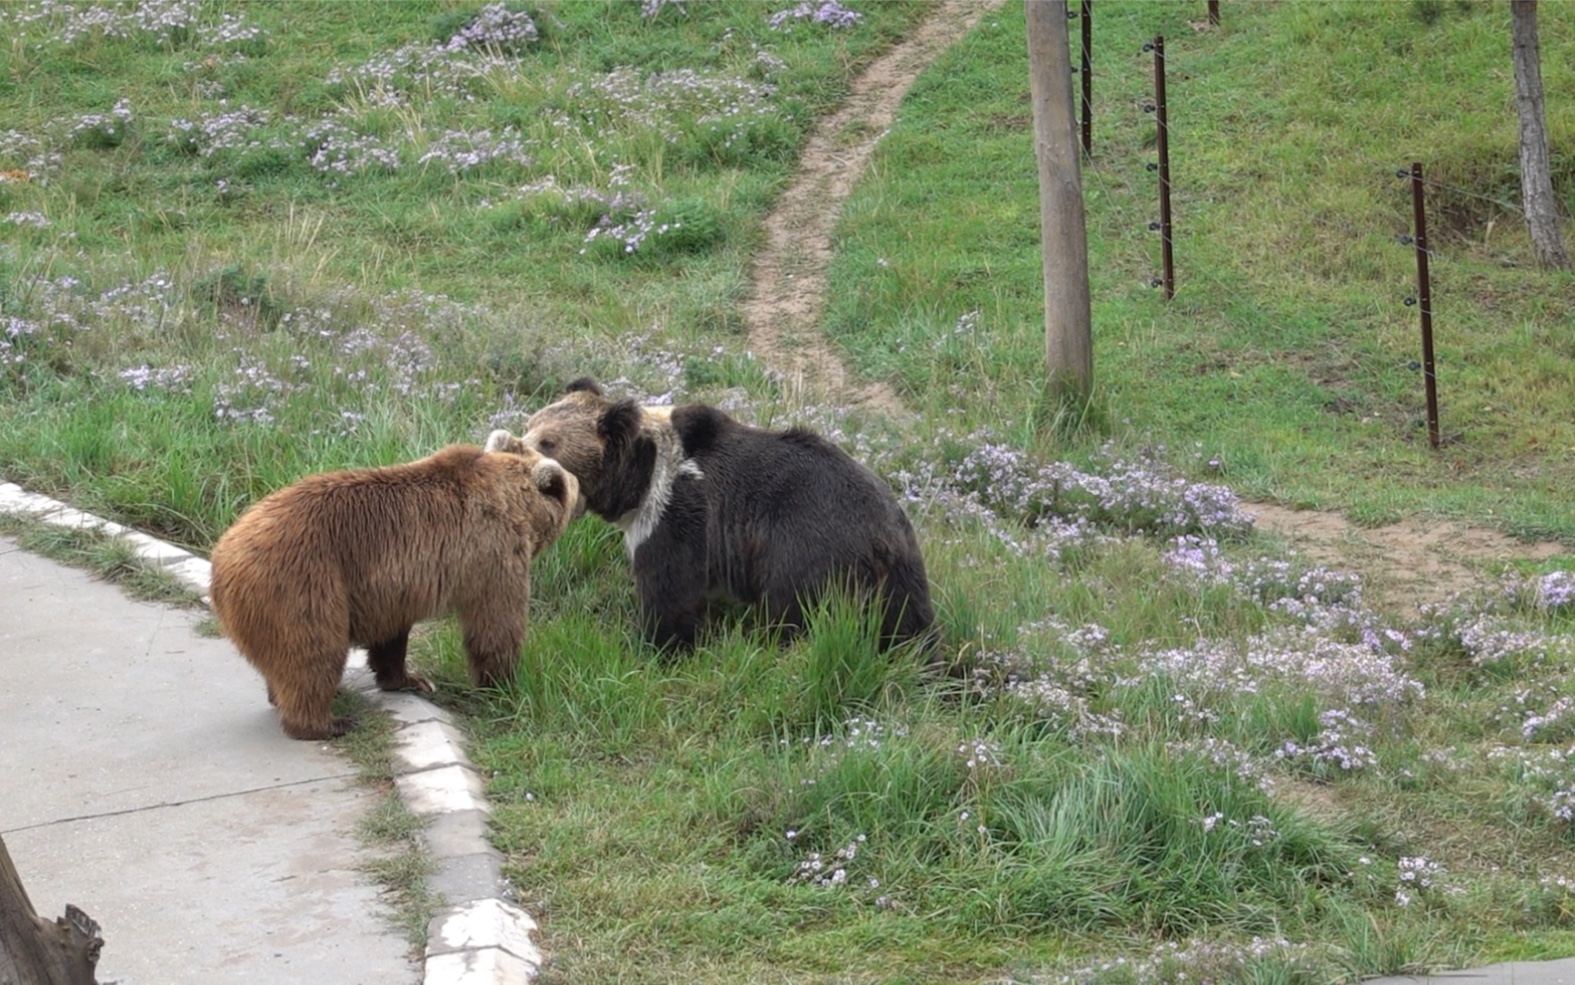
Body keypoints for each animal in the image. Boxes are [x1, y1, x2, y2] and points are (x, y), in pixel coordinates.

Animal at [207, 444, 579, 737]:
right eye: (572, 482)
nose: (580, 486)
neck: (515, 506)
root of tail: (223, 555)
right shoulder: (492, 554)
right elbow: (495, 625)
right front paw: (502, 686)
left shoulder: (391, 586)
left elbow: (390, 635)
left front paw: (410, 679)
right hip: (303, 583)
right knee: (314, 653)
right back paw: (327, 723)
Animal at [488, 376, 932, 652]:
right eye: (531, 423)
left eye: (549, 441)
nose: (510, 451)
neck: (641, 478)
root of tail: (883, 535)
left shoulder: (679, 513)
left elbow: (669, 590)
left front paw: (656, 643)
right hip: (902, 570)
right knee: (909, 622)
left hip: (806, 548)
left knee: (796, 611)